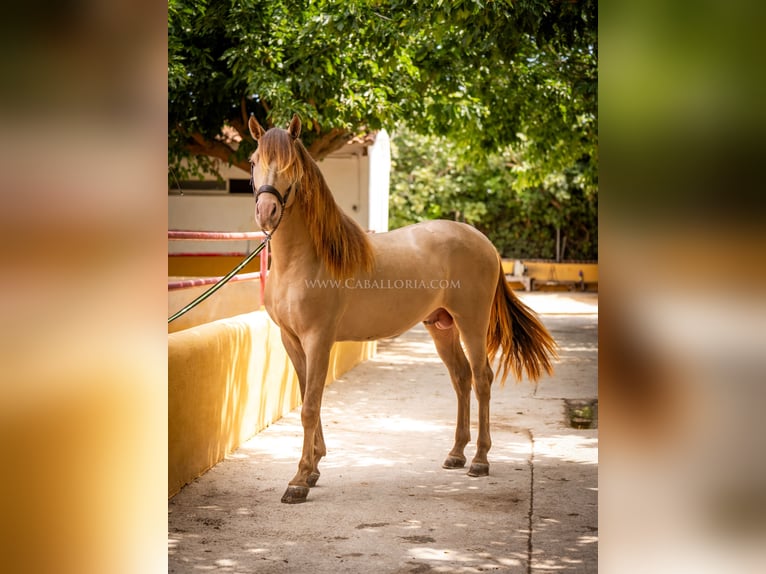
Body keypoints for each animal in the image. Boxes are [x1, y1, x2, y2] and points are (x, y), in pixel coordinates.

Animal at [250, 113, 560, 504]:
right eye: (253, 161)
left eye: (290, 165)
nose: (266, 211)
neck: (306, 260)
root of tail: (484, 242)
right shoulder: (291, 340)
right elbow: (309, 399)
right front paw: (315, 467)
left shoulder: (319, 339)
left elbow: (309, 407)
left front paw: (299, 479)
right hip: (442, 326)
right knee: (461, 378)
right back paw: (456, 454)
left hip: (472, 323)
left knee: (482, 378)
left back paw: (480, 460)